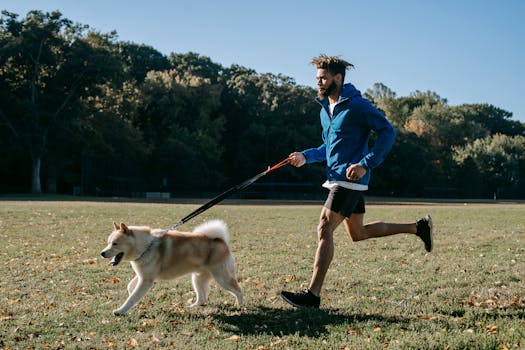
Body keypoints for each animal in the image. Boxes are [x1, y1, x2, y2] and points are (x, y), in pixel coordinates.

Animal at [99, 220, 243, 316]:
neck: (146, 246)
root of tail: (222, 241)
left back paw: (240, 306)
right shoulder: (143, 276)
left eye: (115, 244)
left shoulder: (146, 281)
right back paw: (191, 307)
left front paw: (120, 311)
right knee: (202, 299)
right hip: (198, 278)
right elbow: (131, 288)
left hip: (222, 278)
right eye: (108, 243)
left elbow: (132, 298)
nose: (102, 253)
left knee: (239, 290)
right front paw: (134, 299)